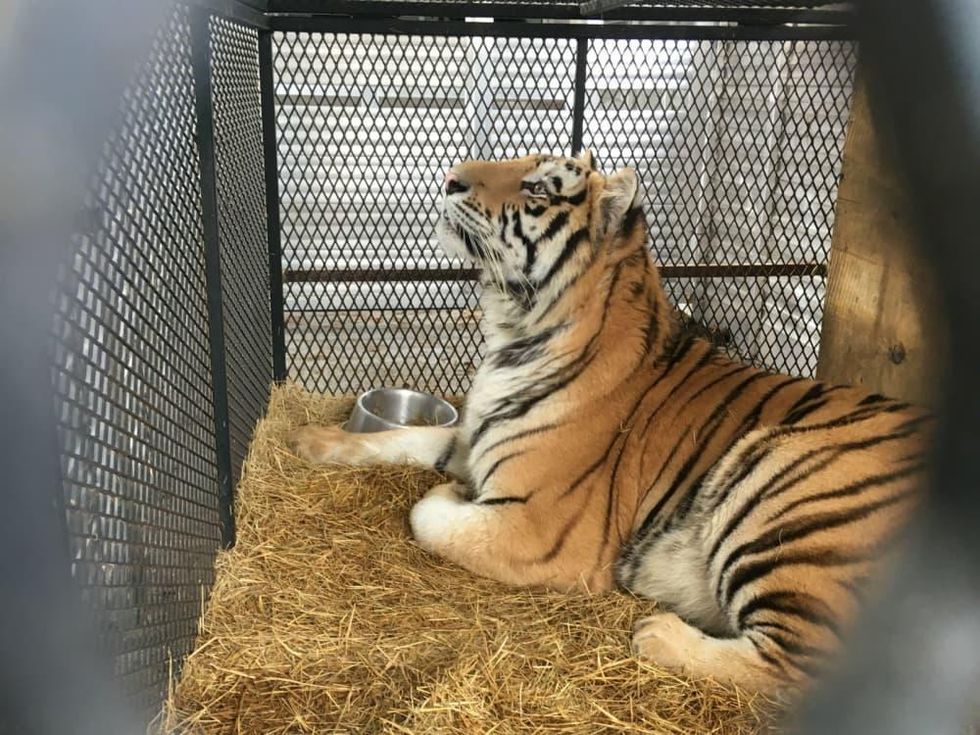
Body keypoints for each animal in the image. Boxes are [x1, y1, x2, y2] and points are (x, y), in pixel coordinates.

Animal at [288, 151, 930, 693]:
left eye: (538, 188)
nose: (449, 178)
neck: (513, 335)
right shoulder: (473, 439)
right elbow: (404, 437)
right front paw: (311, 439)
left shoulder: (542, 530)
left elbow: (427, 515)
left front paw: (448, 494)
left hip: (781, 481)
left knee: (802, 665)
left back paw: (660, 634)